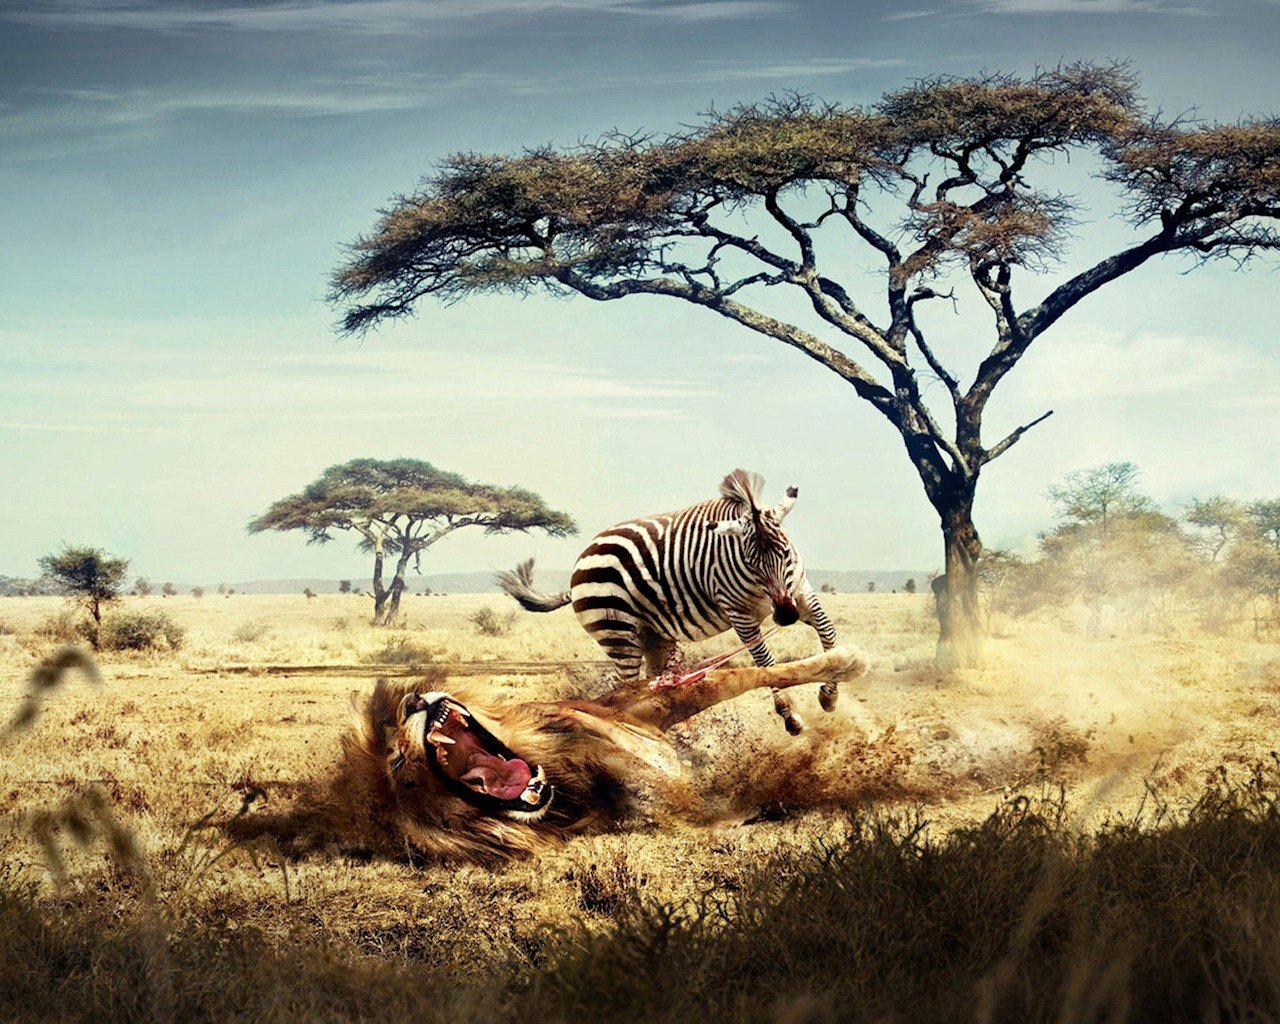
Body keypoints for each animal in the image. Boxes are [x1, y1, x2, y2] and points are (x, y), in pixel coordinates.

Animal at [341, 645, 869, 863]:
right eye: (397, 763)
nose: (414, 701)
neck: (565, 784)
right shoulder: (651, 811)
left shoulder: (643, 704)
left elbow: (749, 674)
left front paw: (844, 663)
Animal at [496, 469, 840, 734]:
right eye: (751, 563)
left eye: (786, 553)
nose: (785, 616)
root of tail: (582, 558)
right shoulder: (739, 614)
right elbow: (767, 664)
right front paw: (791, 717)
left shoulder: (799, 592)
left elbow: (829, 632)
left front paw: (829, 695)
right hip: (617, 633)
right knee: (627, 688)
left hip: (653, 635)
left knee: (655, 685)